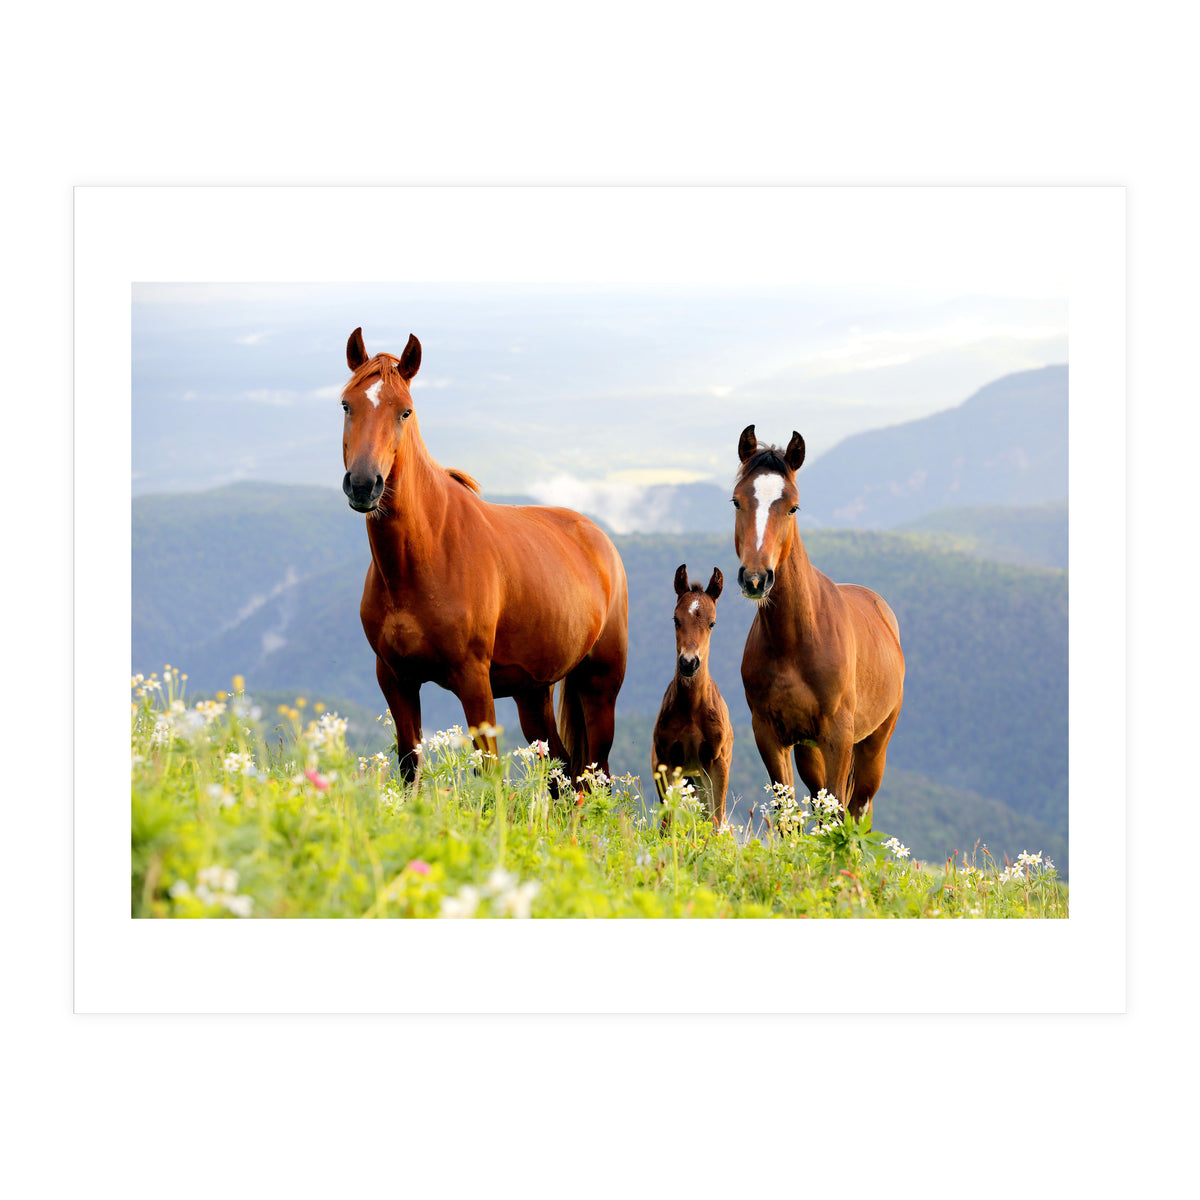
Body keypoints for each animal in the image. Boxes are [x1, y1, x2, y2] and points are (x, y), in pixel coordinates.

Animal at [339, 327, 628, 785]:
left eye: (405, 412)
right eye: (347, 404)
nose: (365, 484)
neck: (423, 558)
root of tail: (600, 540)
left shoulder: (474, 680)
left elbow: (489, 774)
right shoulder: (395, 679)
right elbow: (409, 766)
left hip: (600, 685)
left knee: (593, 775)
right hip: (533, 693)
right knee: (562, 771)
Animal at [651, 565, 734, 828]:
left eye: (712, 623)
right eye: (676, 619)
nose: (689, 662)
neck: (691, 709)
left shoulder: (717, 763)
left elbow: (716, 820)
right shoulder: (666, 762)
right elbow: (667, 822)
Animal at [732, 425, 905, 822]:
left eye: (793, 506)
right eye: (737, 501)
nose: (755, 578)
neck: (794, 640)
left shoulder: (837, 737)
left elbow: (840, 811)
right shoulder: (771, 736)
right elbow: (787, 813)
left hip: (873, 744)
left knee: (859, 808)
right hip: (809, 750)